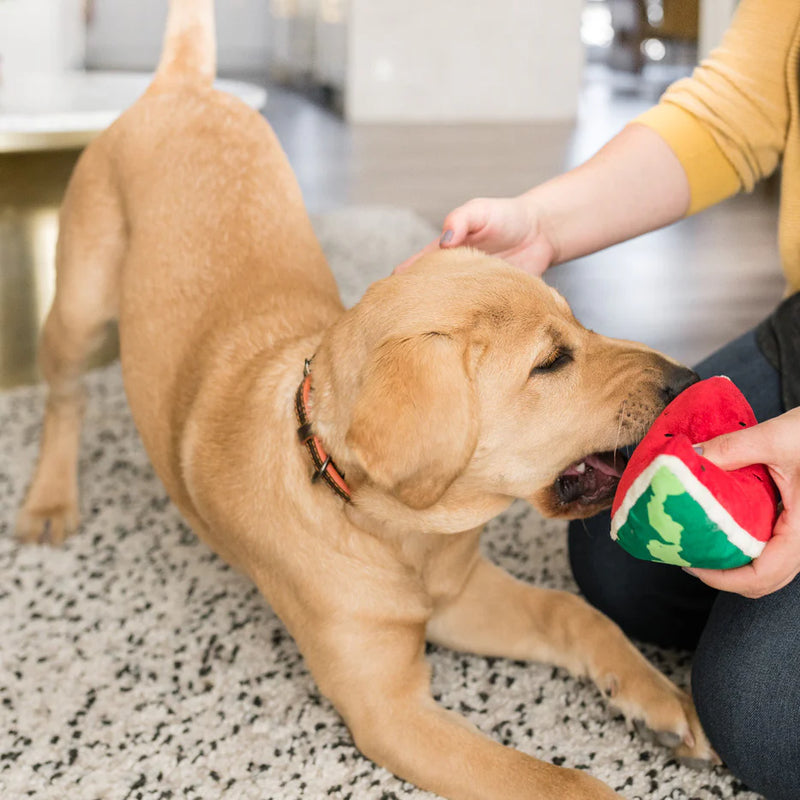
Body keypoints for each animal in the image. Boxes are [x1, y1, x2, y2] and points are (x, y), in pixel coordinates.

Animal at [17, 3, 712, 796]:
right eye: (551, 362)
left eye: (581, 325)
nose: (685, 381)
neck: (396, 529)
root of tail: (182, 84)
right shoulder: (391, 710)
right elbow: (559, 782)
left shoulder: (465, 598)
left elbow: (577, 614)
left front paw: (658, 697)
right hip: (78, 306)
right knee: (65, 399)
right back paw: (49, 499)